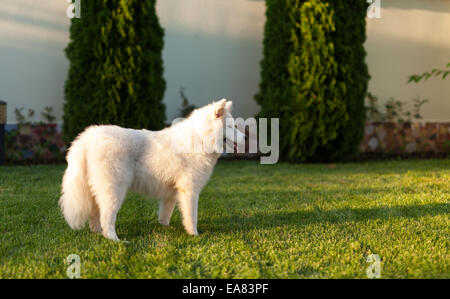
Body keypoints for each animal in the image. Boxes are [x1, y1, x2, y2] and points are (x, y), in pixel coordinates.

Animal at [59, 100, 246, 241]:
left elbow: (166, 211)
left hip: (97, 190)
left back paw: (98, 232)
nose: (246, 137)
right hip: (114, 189)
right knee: (107, 217)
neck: (200, 139)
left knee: (95, 214)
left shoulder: (172, 192)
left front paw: (165, 226)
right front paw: (194, 234)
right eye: (231, 126)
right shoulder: (190, 190)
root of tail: (89, 137)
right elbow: (191, 216)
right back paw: (114, 239)